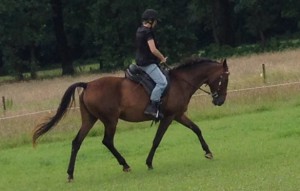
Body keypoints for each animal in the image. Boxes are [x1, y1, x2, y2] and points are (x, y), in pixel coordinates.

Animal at [32, 56, 230, 181]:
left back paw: (70, 174)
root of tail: (88, 84)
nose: (219, 101)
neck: (181, 82)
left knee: (76, 142)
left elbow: (196, 129)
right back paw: (125, 165)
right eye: (224, 79)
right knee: (107, 141)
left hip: (90, 119)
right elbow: (157, 140)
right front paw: (149, 163)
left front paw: (208, 152)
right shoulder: (169, 117)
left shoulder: (179, 115)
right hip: (110, 120)